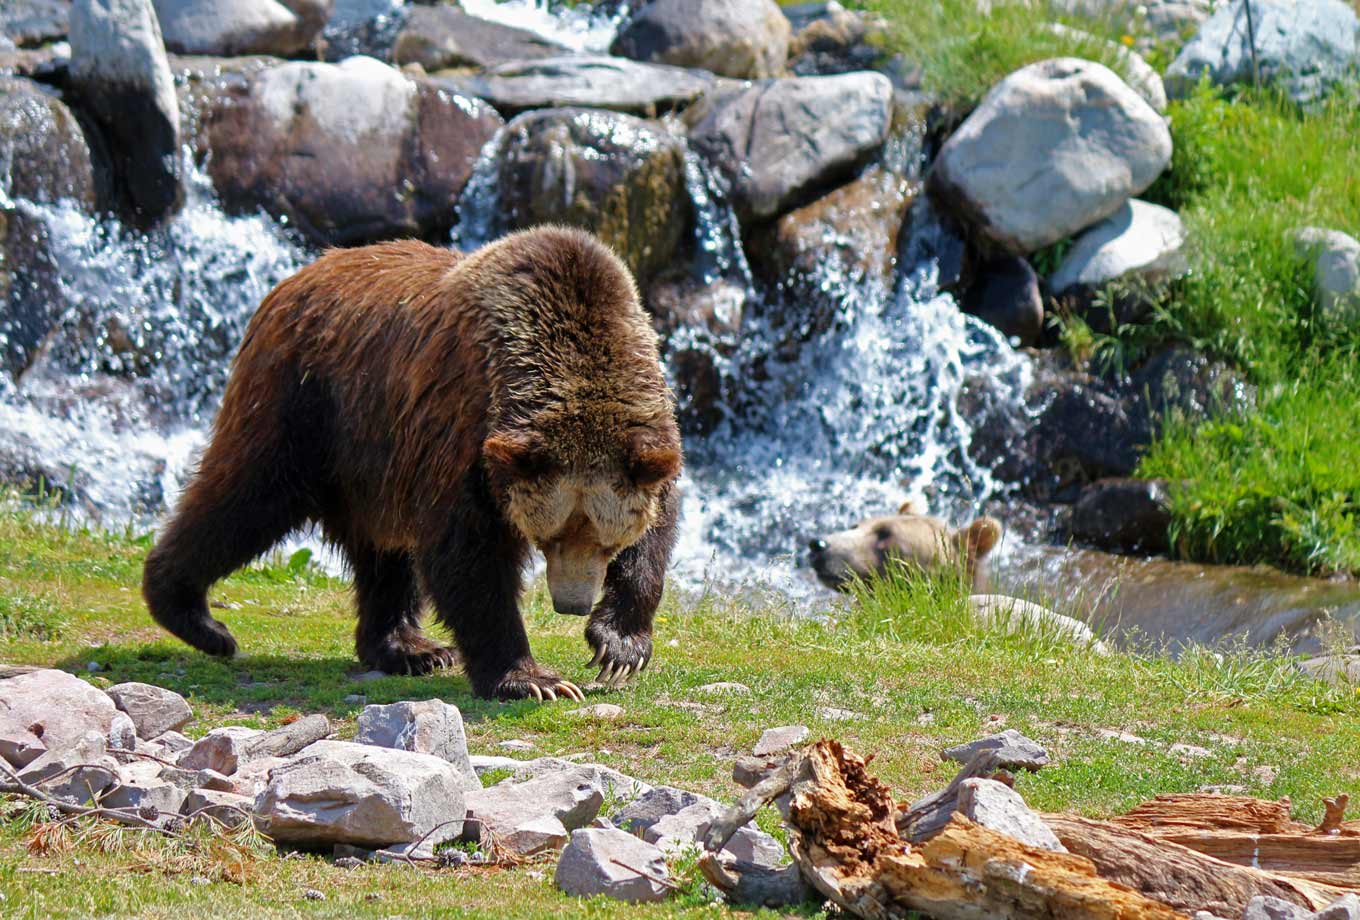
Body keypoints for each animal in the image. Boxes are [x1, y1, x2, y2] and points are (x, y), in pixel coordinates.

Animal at [142, 226, 683, 702]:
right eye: (548, 536)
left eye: (605, 538)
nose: (571, 604)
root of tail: (296, 276)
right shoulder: (463, 432)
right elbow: (466, 556)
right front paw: (532, 679)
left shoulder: (646, 437)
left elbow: (657, 533)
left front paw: (619, 648)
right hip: (304, 404)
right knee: (245, 497)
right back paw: (195, 616)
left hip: (374, 457)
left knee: (383, 553)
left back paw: (407, 647)